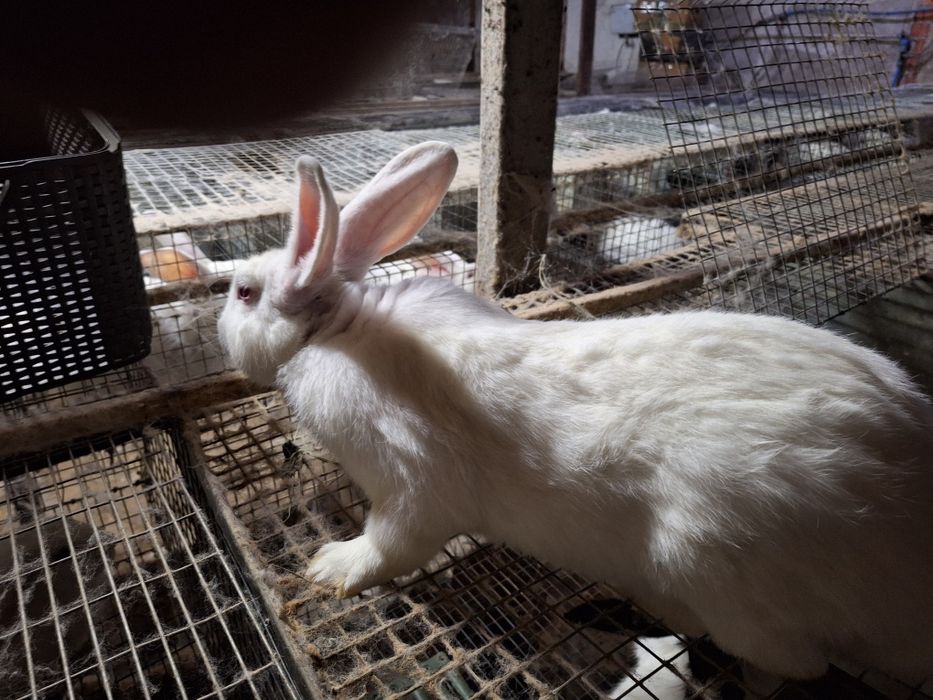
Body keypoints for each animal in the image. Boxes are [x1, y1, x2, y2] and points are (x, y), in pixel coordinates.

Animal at [217, 141, 933, 685]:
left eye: (244, 293)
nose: (224, 326)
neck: (339, 331)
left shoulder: (412, 486)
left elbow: (390, 545)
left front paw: (329, 568)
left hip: (720, 571)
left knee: (789, 666)